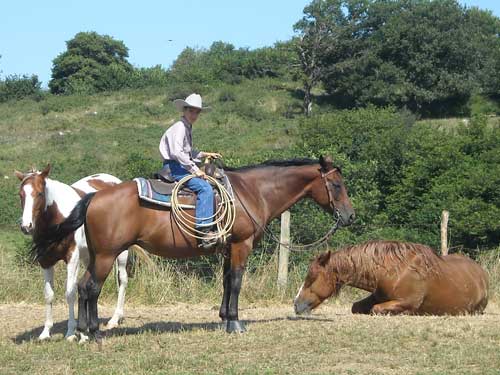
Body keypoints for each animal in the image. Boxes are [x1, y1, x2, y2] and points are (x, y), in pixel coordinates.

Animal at [16, 166, 134, 342]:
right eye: (21, 194)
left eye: (40, 193)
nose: (26, 226)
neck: (57, 219)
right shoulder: (46, 261)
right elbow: (49, 294)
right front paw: (46, 332)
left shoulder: (72, 258)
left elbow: (70, 293)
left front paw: (71, 332)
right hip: (91, 257)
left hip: (119, 253)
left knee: (123, 280)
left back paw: (114, 319)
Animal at [33, 156, 354, 338]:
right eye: (337, 185)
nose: (350, 216)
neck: (251, 192)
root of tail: (93, 197)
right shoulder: (242, 245)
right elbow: (237, 281)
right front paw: (235, 323)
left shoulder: (227, 247)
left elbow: (226, 281)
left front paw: (224, 318)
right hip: (107, 256)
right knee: (91, 288)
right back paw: (94, 333)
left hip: (98, 256)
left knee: (84, 287)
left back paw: (84, 332)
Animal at [292, 239, 488, 316]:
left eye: (311, 278)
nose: (296, 304)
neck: (393, 271)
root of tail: (482, 273)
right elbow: (356, 307)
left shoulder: (405, 302)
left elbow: (376, 309)